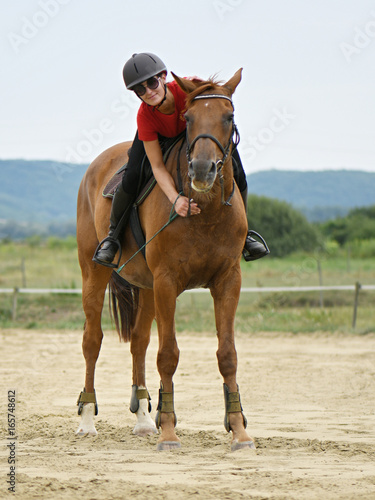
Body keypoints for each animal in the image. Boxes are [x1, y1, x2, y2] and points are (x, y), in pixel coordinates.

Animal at [75, 68, 256, 452]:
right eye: (188, 119)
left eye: (228, 116)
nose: (201, 170)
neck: (206, 213)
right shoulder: (167, 282)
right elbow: (168, 355)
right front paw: (170, 432)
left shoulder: (228, 281)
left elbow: (227, 355)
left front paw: (239, 431)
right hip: (94, 274)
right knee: (92, 341)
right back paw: (86, 419)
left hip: (145, 287)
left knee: (139, 342)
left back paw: (145, 418)